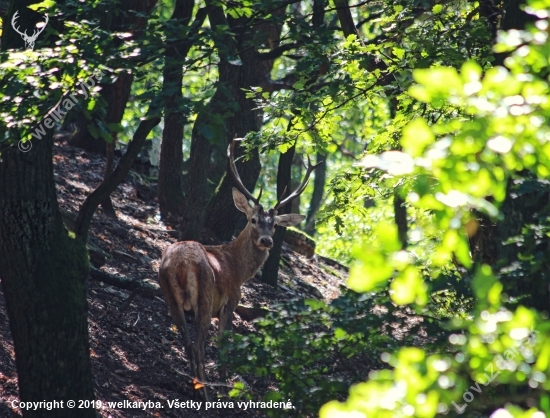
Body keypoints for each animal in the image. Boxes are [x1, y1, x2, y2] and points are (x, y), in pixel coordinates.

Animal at [157, 138, 322, 398]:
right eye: (253, 220)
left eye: (274, 225)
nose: (267, 241)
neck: (238, 268)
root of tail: (179, 264)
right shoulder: (229, 303)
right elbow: (223, 348)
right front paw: (226, 390)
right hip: (204, 297)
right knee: (198, 346)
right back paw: (207, 394)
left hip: (170, 296)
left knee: (186, 342)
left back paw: (195, 388)